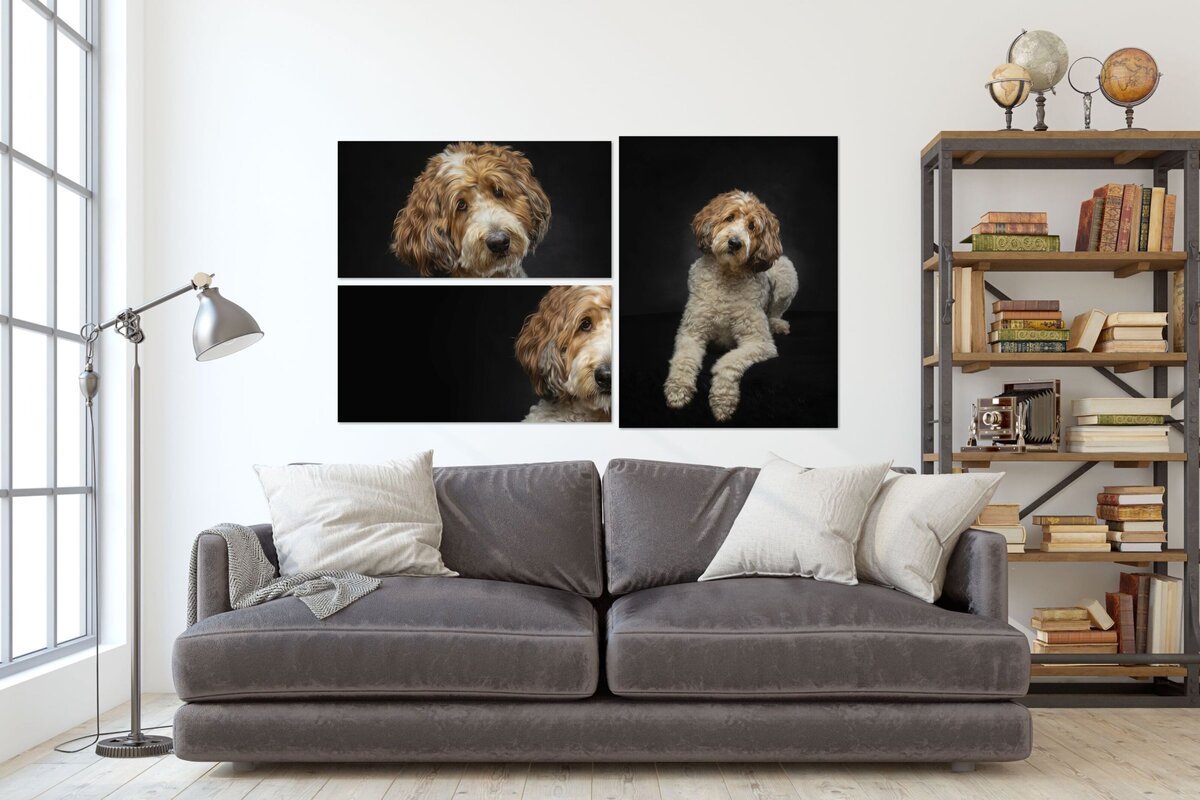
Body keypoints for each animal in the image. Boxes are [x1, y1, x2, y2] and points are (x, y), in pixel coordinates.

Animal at [667, 190, 796, 422]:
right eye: (729, 218)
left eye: (752, 226)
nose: (735, 243)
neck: (727, 274)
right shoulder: (691, 333)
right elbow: (683, 360)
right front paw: (678, 390)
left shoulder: (758, 343)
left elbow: (728, 362)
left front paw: (723, 401)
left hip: (786, 273)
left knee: (775, 311)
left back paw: (777, 324)